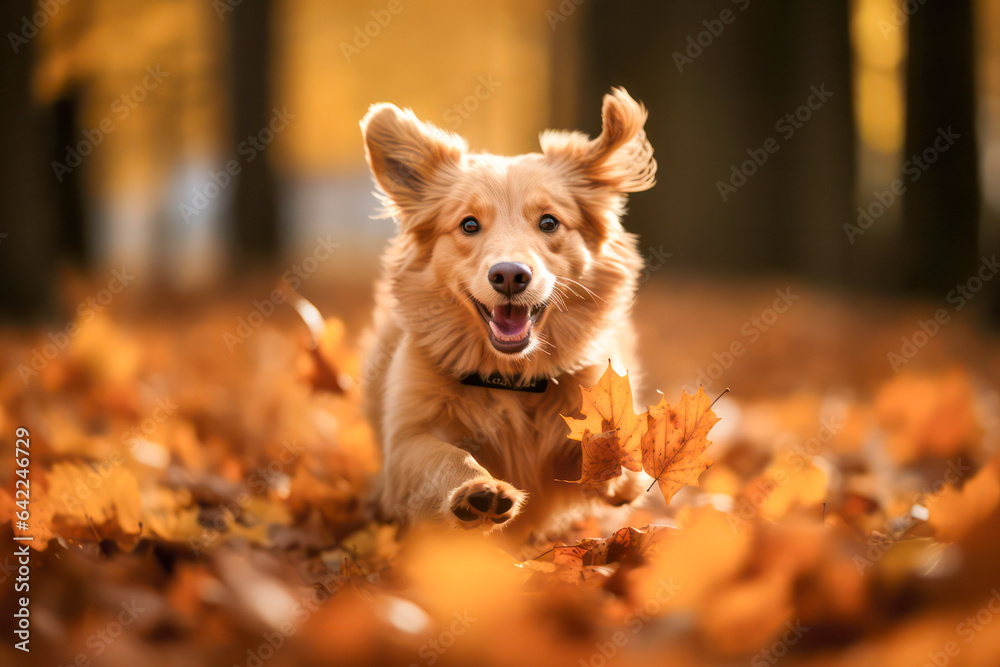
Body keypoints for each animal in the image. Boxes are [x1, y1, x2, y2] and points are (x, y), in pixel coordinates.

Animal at [360, 87, 656, 536]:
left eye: (549, 222)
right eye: (468, 225)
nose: (510, 276)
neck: (513, 378)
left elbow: (608, 450)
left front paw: (610, 458)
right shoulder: (404, 444)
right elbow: (443, 455)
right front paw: (477, 489)